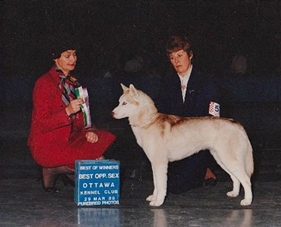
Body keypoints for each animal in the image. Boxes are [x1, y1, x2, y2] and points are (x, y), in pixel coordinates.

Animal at [111, 84, 254, 207]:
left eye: (124, 103)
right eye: (119, 102)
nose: (112, 113)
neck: (148, 121)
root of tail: (236, 123)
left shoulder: (160, 163)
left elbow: (161, 186)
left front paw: (158, 202)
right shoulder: (154, 164)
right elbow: (156, 184)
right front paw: (154, 197)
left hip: (228, 159)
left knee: (246, 180)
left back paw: (247, 200)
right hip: (221, 159)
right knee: (236, 178)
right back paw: (234, 193)